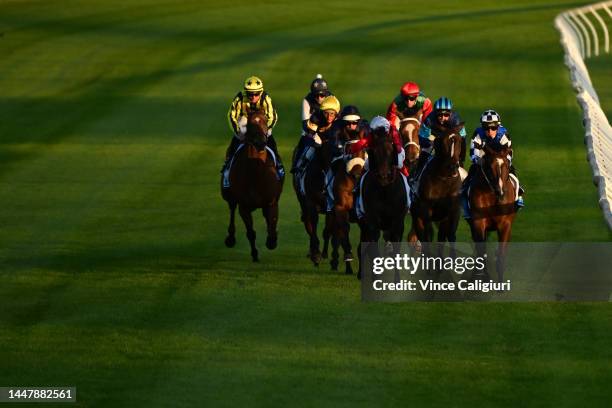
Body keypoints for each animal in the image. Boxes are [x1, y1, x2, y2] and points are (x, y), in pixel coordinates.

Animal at [222, 111, 284, 262]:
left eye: (265, 120)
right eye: (250, 124)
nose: (261, 142)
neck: (256, 173)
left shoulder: (271, 202)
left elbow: (272, 227)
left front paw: (272, 240)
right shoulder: (244, 207)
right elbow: (250, 233)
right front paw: (255, 254)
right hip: (230, 197)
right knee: (232, 209)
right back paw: (230, 238)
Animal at [468, 145, 516, 282]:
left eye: (506, 165)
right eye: (489, 168)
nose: (500, 192)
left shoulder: (505, 225)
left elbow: (501, 256)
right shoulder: (478, 223)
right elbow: (481, 251)